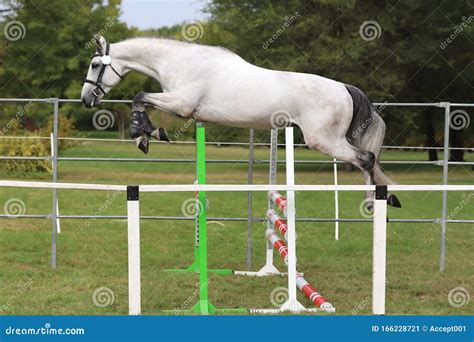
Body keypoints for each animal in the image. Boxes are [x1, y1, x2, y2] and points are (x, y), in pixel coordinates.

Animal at [80, 36, 400, 210]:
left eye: (95, 65)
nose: (85, 99)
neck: (180, 61)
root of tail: (345, 88)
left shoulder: (181, 105)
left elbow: (139, 97)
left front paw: (143, 133)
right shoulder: (180, 106)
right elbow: (142, 100)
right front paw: (146, 135)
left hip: (323, 140)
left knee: (366, 159)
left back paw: (371, 203)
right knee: (367, 161)